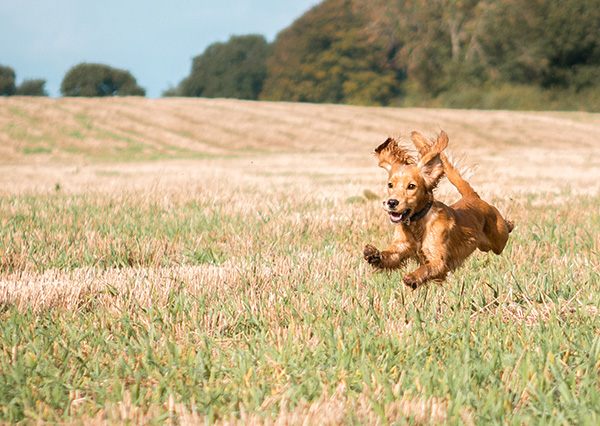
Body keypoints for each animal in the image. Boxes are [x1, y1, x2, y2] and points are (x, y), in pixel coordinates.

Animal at [364, 131, 512, 290]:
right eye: (390, 184)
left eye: (411, 186)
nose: (391, 202)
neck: (418, 223)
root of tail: (472, 196)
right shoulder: (401, 247)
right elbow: (390, 255)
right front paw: (373, 254)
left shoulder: (439, 261)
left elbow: (426, 268)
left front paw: (413, 277)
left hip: (498, 241)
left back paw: (510, 223)